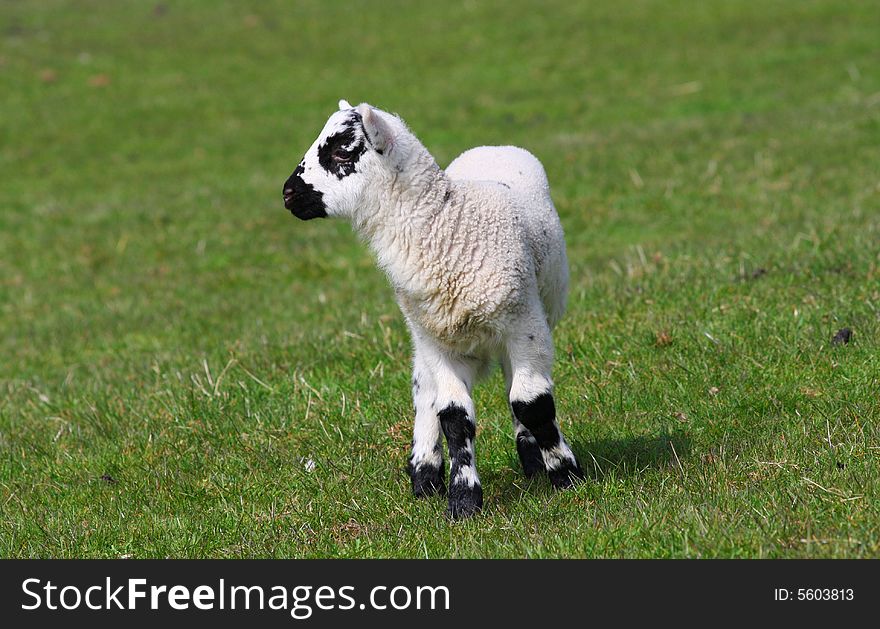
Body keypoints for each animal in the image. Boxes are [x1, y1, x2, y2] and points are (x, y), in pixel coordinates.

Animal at [284, 100, 584, 516]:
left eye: (342, 151)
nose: (288, 194)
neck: (444, 224)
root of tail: (492, 147)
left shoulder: (525, 325)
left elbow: (532, 404)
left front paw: (566, 475)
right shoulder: (436, 338)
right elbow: (454, 416)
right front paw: (462, 498)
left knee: (515, 386)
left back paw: (531, 459)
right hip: (423, 331)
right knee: (424, 390)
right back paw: (425, 475)